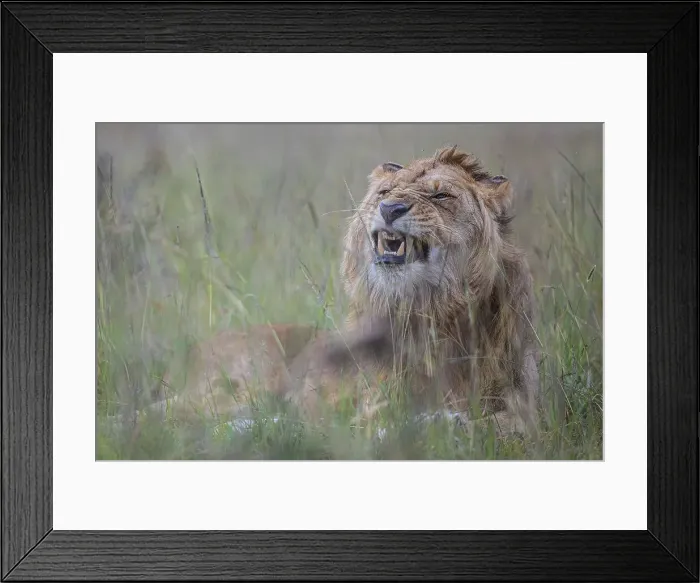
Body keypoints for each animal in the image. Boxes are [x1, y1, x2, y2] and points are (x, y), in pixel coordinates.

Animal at [141, 146, 541, 437]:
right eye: (384, 193)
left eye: (441, 195)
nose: (390, 208)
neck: (434, 311)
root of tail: (193, 351)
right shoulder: (372, 406)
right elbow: (389, 422)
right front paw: (436, 423)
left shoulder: (525, 404)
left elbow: (510, 423)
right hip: (234, 388)